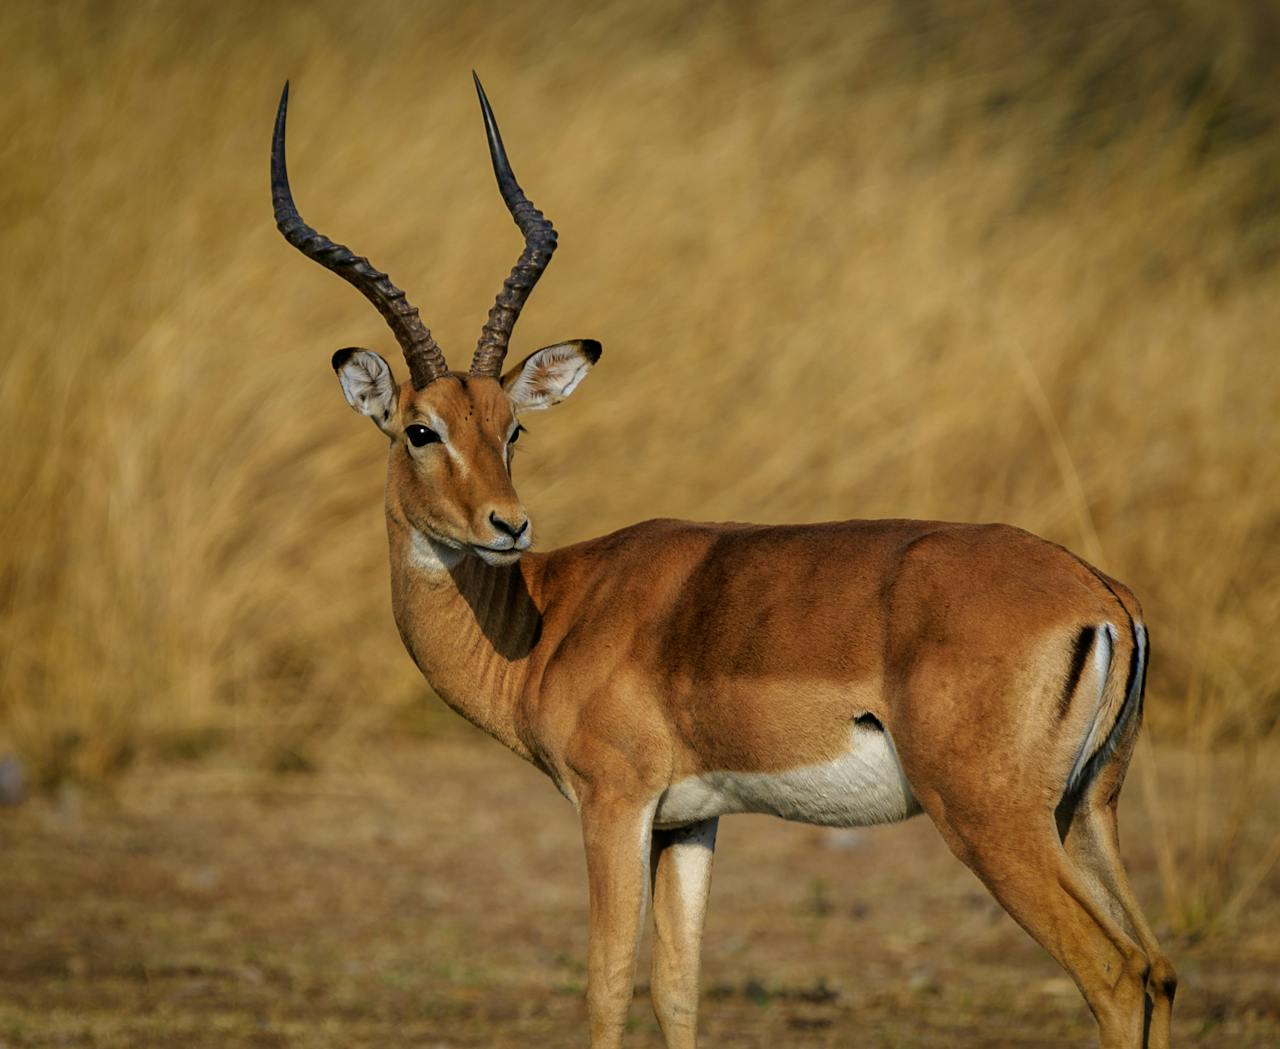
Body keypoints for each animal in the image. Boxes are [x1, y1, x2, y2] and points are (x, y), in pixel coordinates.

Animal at [270, 76, 1176, 1049]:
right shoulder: (691, 821)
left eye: (512, 429)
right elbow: (676, 986)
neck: (548, 617)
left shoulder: (614, 804)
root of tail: (1102, 595)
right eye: (422, 429)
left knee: (1115, 973)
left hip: (990, 819)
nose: (507, 525)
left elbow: (605, 985)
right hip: (1087, 811)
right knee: (1159, 967)